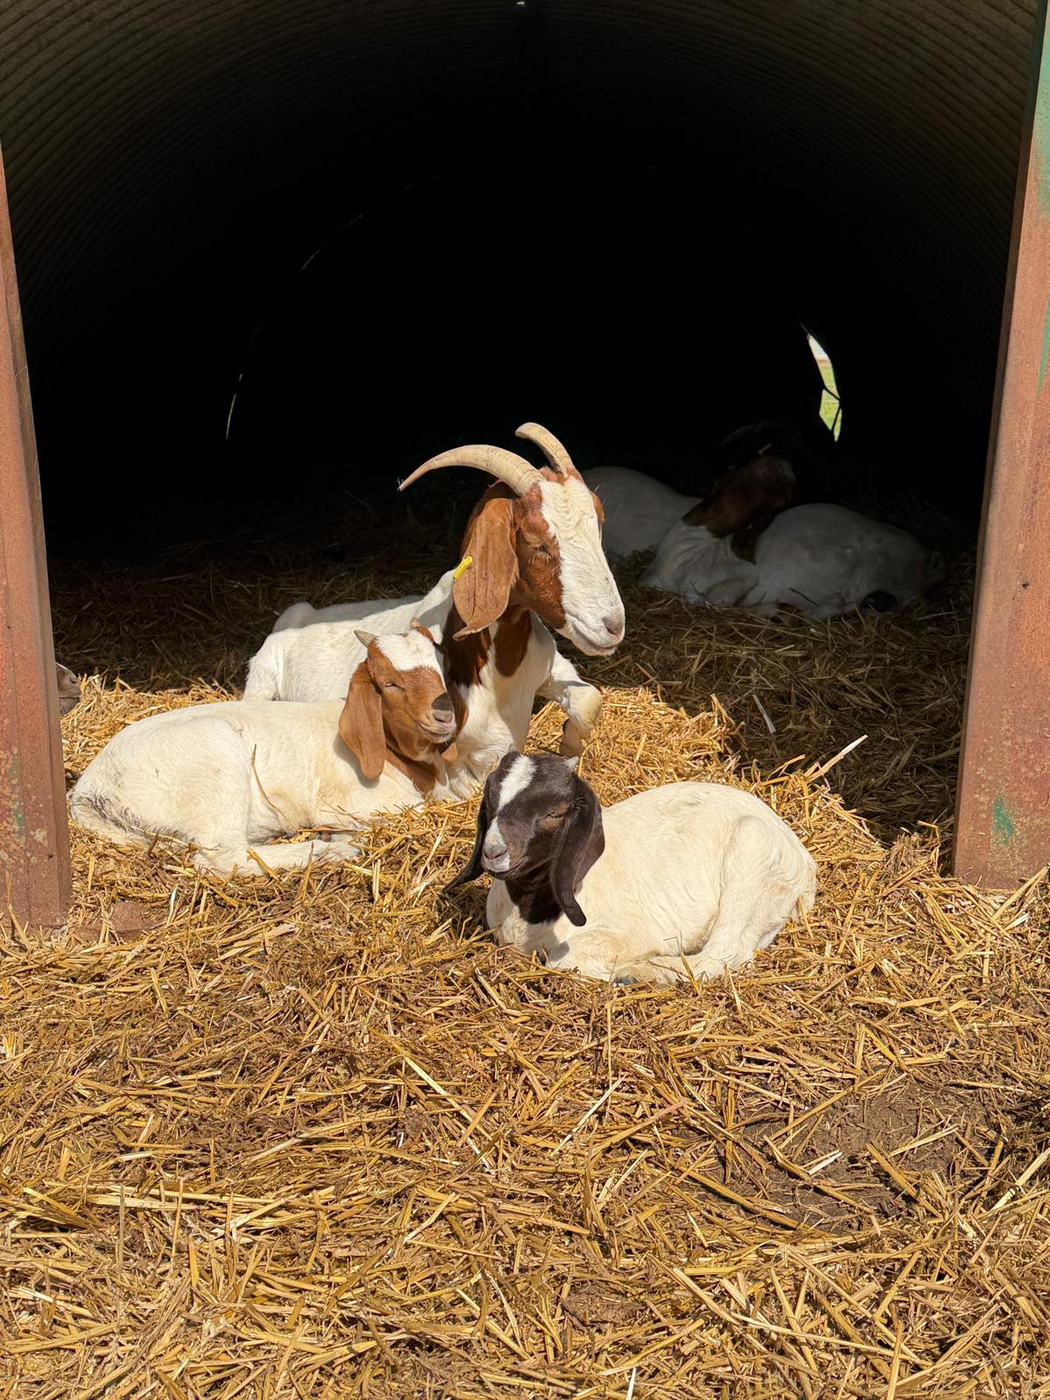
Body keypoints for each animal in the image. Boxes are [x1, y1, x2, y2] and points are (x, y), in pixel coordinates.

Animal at [70, 626, 466, 877]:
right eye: (389, 683)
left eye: (442, 669)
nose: (444, 714)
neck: (394, 755)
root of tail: (90, 789)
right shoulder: (346, 803)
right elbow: (409, 812)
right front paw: (340, 837)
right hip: (216, 760)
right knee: (225, 857)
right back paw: (330, 851)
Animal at [244, 423, 624, 778]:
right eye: (537, 542)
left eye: (600, 525)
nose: (613, 625)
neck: (498, 665)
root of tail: (298, 617)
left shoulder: (549, 665)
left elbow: (590, 698)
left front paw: (569, 743)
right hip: (261, 676)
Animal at [448, 751, 816, 984]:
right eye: (490, 800)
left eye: (555, 812)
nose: (493, 852)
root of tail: (804, 861)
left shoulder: (636, 931)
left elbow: (565, 960)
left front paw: (628, 968)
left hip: (753, 860)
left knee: (722, 954)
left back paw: (645, 973)